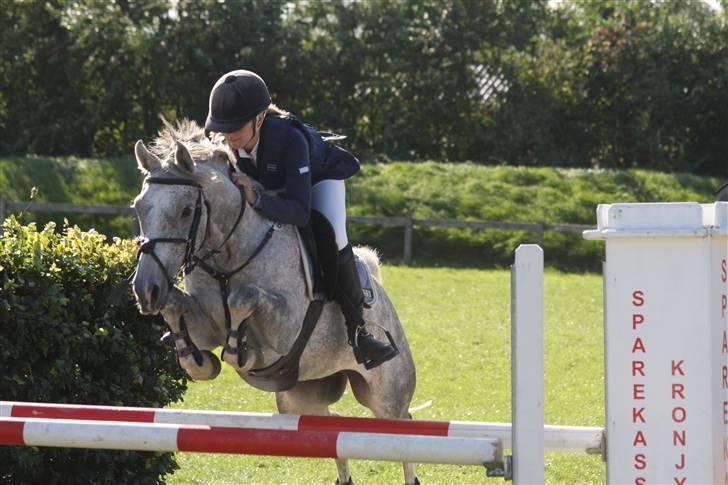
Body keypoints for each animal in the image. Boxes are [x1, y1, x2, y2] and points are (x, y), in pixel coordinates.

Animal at [131, 120, 418, 485]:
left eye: (185, 210)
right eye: (138, 208)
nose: (146, 290)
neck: (227, 256)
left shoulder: (287, 330)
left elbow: (245, 298)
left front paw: (239, 350)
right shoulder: (205, 326)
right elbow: (176, 309)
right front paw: (197, 359)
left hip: (386, 394)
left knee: (402, 430)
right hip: (300, 397)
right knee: (329, 427)